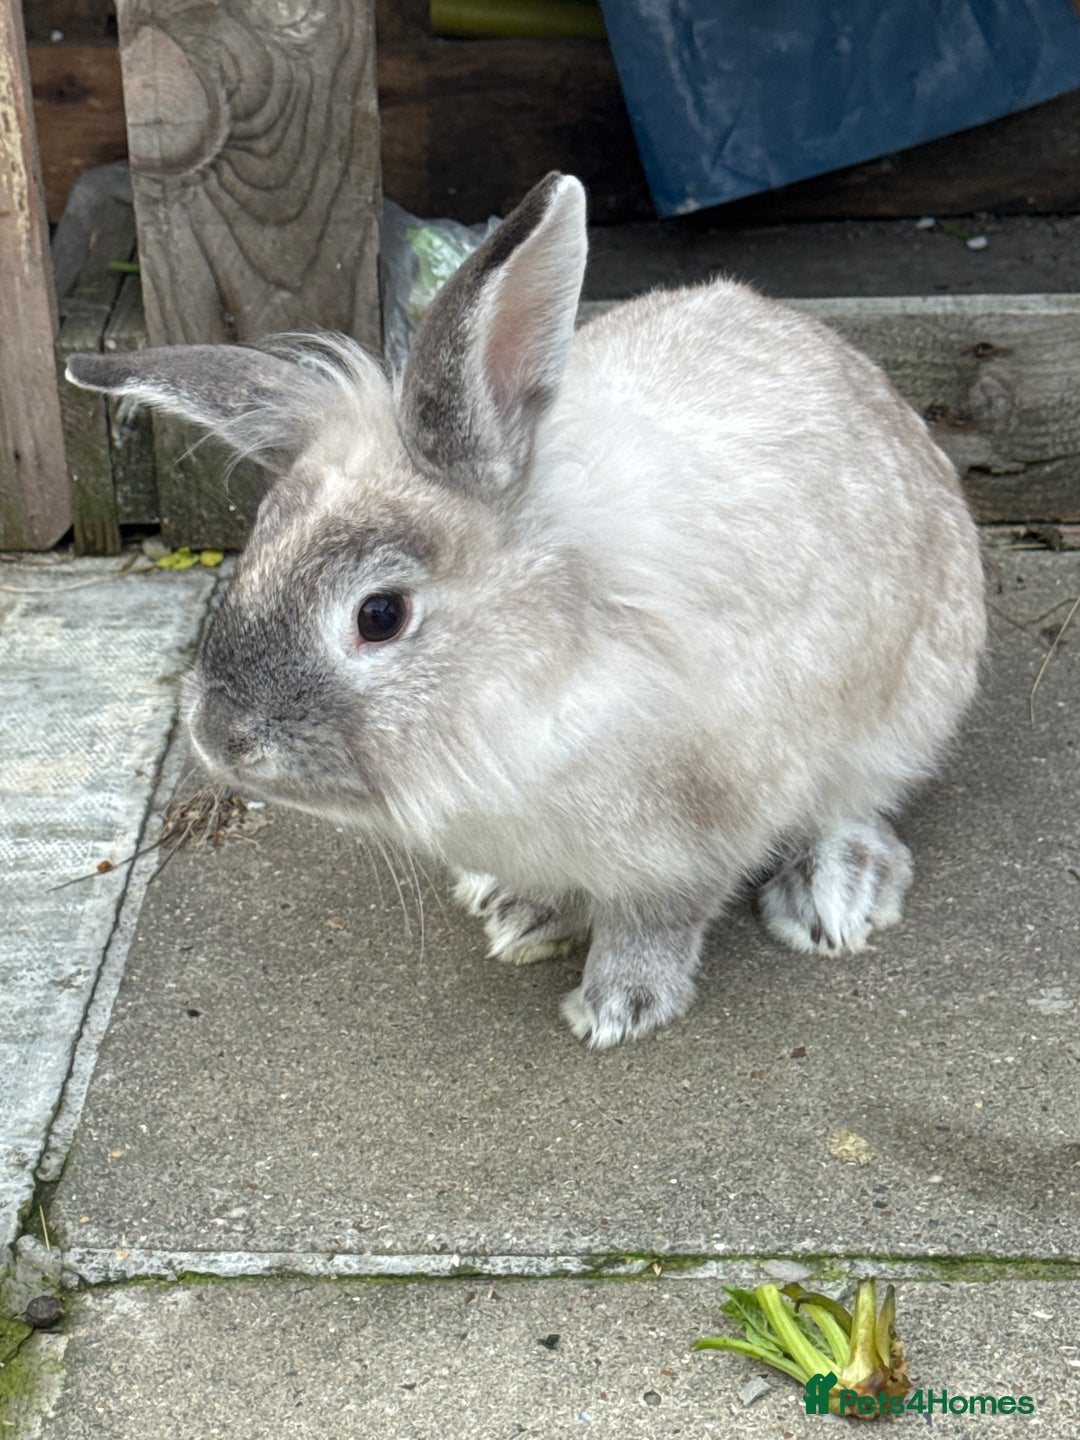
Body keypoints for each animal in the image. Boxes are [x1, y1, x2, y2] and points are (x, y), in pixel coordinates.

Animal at [66, 172, 986, 1049]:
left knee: (855, 801)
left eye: (380, 615)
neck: (526, 687)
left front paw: (618, 1009)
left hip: (906, 714)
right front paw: (526, 917)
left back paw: (835, 897)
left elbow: (661, 920)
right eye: (254, 549)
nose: (219, 738)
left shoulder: (701, 827)